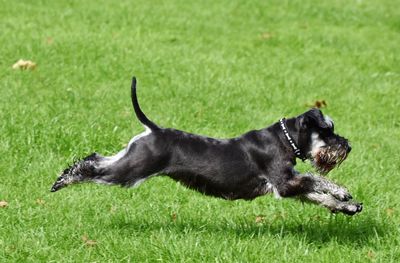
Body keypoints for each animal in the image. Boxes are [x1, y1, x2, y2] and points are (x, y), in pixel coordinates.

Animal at [50, 78, 362, 217]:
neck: (284, 139)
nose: (347, 146)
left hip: (131, 158)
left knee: (96, 157)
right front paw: (342, 192)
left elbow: (316, 195)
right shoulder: (284, 182)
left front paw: (347, 206)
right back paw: (62, 181)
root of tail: (155, 130)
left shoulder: (289, 186)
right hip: (131, 170)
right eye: (328, 131)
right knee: (92, 167)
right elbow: (316, 179)